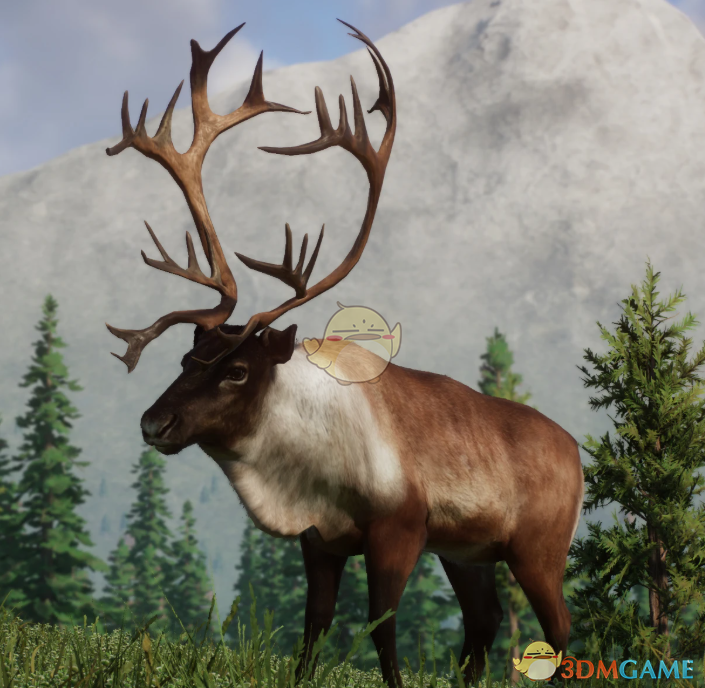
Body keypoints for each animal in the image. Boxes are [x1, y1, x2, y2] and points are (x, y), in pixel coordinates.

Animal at [104, 21, 584, 688]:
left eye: (237, 370)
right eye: (183, 362)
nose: (154, 422)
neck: (303, 472)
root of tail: (580, 452)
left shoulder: (399, 529)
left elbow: (381, 630)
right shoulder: (321, 540)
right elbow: (315, 627)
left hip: (539, 547)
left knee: (559, 627)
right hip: (468, 552)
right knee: (483, 623)